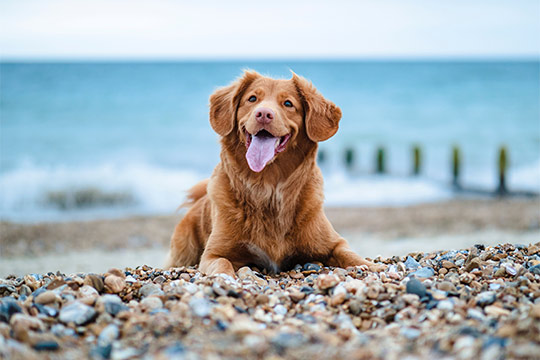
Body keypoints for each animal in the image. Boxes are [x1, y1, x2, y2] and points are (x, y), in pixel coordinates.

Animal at [166, 69, 384, 276]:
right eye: (252, 99)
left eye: (288, 103)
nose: (263, 114)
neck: (267, 187)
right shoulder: (213, 253)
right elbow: (222, 263)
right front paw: (225, 278)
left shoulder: (333, 242)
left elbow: (349, 254)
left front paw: (371, 266)